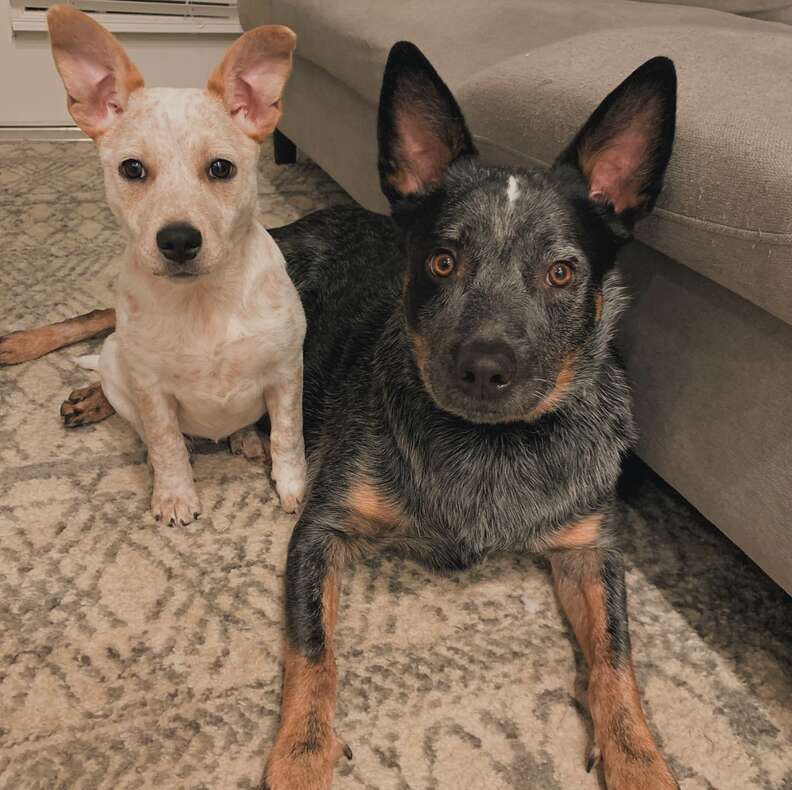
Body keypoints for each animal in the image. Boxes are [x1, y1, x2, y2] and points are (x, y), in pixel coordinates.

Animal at [47, 7, 306, 524]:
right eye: (132, 169)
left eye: (221, 168)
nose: (179, 240)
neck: (202, 300)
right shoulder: (150, 390)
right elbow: (165, 442)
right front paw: (174, 495)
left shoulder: (287, 371)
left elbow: (289, 436)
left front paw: (292, 486)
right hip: (116, 370)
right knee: (150, 433)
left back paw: (245, 440)